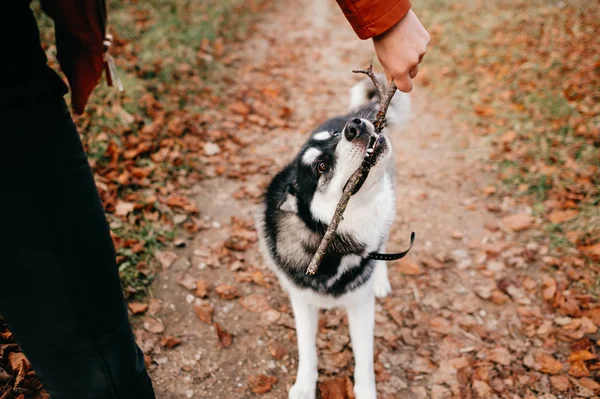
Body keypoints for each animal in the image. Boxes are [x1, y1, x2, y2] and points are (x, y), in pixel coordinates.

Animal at [255, 77, 410, 399]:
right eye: (321, 167)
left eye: (336, 135)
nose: (354, 126)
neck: (334, 248)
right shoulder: (302, 302)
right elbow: (307, 349)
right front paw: (304, 386)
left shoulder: (360, 303)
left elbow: (364, 361)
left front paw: (365, 392)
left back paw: (380, 278)